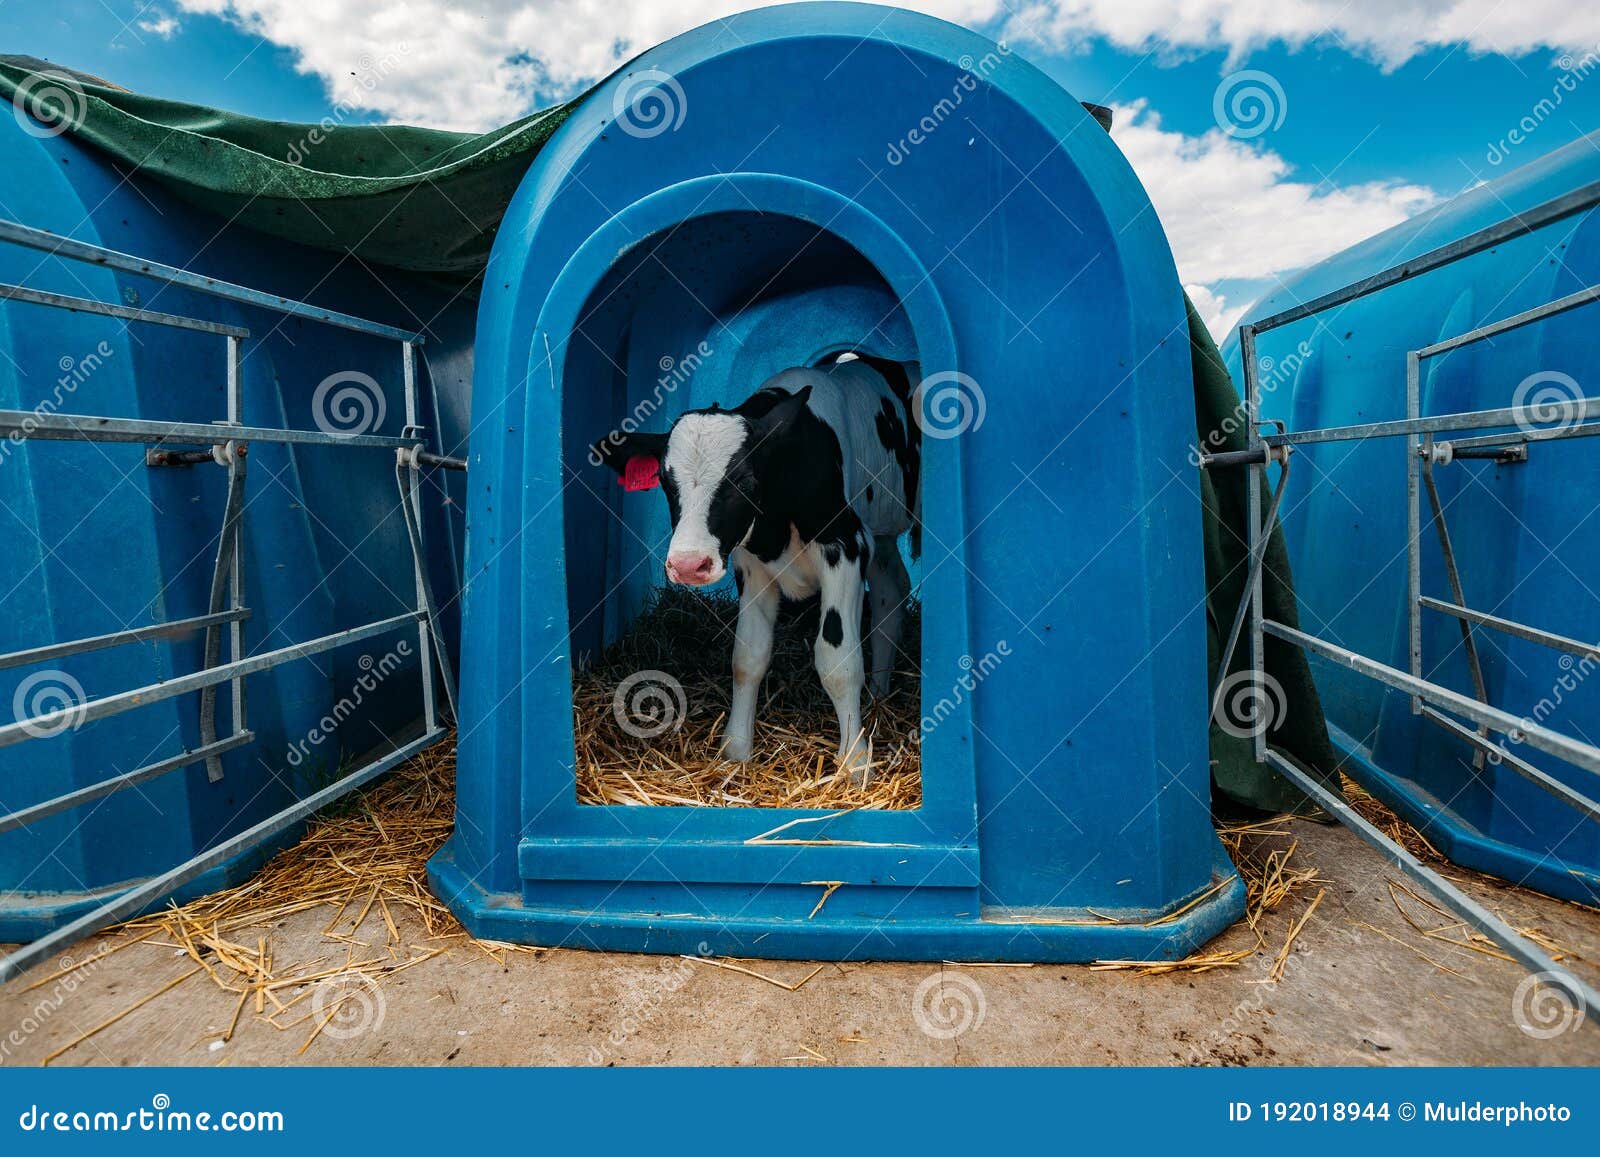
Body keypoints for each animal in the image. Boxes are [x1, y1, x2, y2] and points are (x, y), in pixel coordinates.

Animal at [595, 355, 921, 787]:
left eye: (744, 481)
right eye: (665, 481)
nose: (688, 564)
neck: (776, 528)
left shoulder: (846, 545)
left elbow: (837, 660)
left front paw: (855, 762)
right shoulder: (750, 564)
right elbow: (747, 657)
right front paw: (735, 750)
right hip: (881, 533)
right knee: (891, 589)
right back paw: (879, 693)